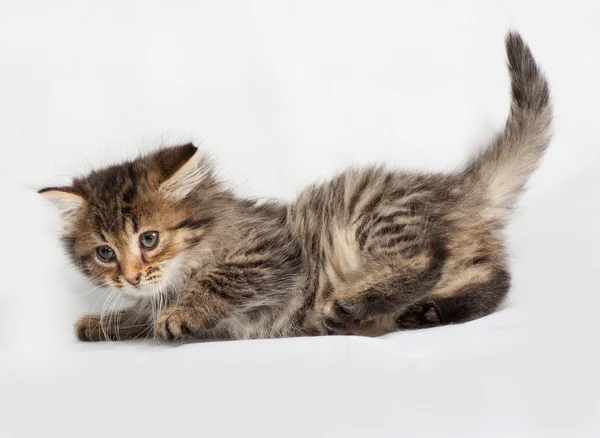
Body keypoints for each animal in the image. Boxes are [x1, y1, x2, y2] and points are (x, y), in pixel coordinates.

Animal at [39, 33, 552, 342]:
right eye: (105, 252)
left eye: (149, 239)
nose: (128, 277)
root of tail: (457, 188)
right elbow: (142, 315)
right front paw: (105, 321)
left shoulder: (271, 250)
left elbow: (216, 280)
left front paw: (180, 311)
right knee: (495, 280)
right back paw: (427, 313)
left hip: (373, 213)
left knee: (426, 259)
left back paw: (349, 305)